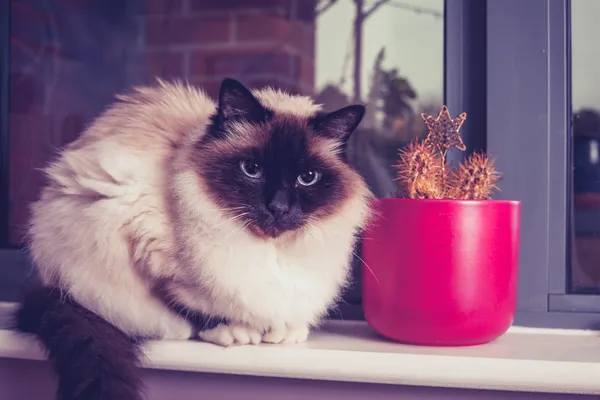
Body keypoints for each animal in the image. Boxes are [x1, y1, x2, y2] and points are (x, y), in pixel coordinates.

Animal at [14, 78, 372, 400]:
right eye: (252, 169)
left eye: (307, 178)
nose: (278, 208)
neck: (270, 250)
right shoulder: (147, 249)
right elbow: (193, 306)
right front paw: (237, 331)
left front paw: (284, 332)